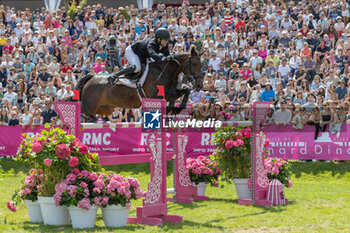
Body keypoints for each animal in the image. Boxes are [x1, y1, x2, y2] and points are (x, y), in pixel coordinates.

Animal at [75, 46, 204, 118]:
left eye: (202, 64)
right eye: (194, 64)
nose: (199, 85)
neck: (164, 71)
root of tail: (91, 78)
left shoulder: (170, 93)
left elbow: (185, 90)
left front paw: (178, 108)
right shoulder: (154, 98)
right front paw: (175, 108)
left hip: (105, 109)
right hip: (89, 107)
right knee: (86, 115)